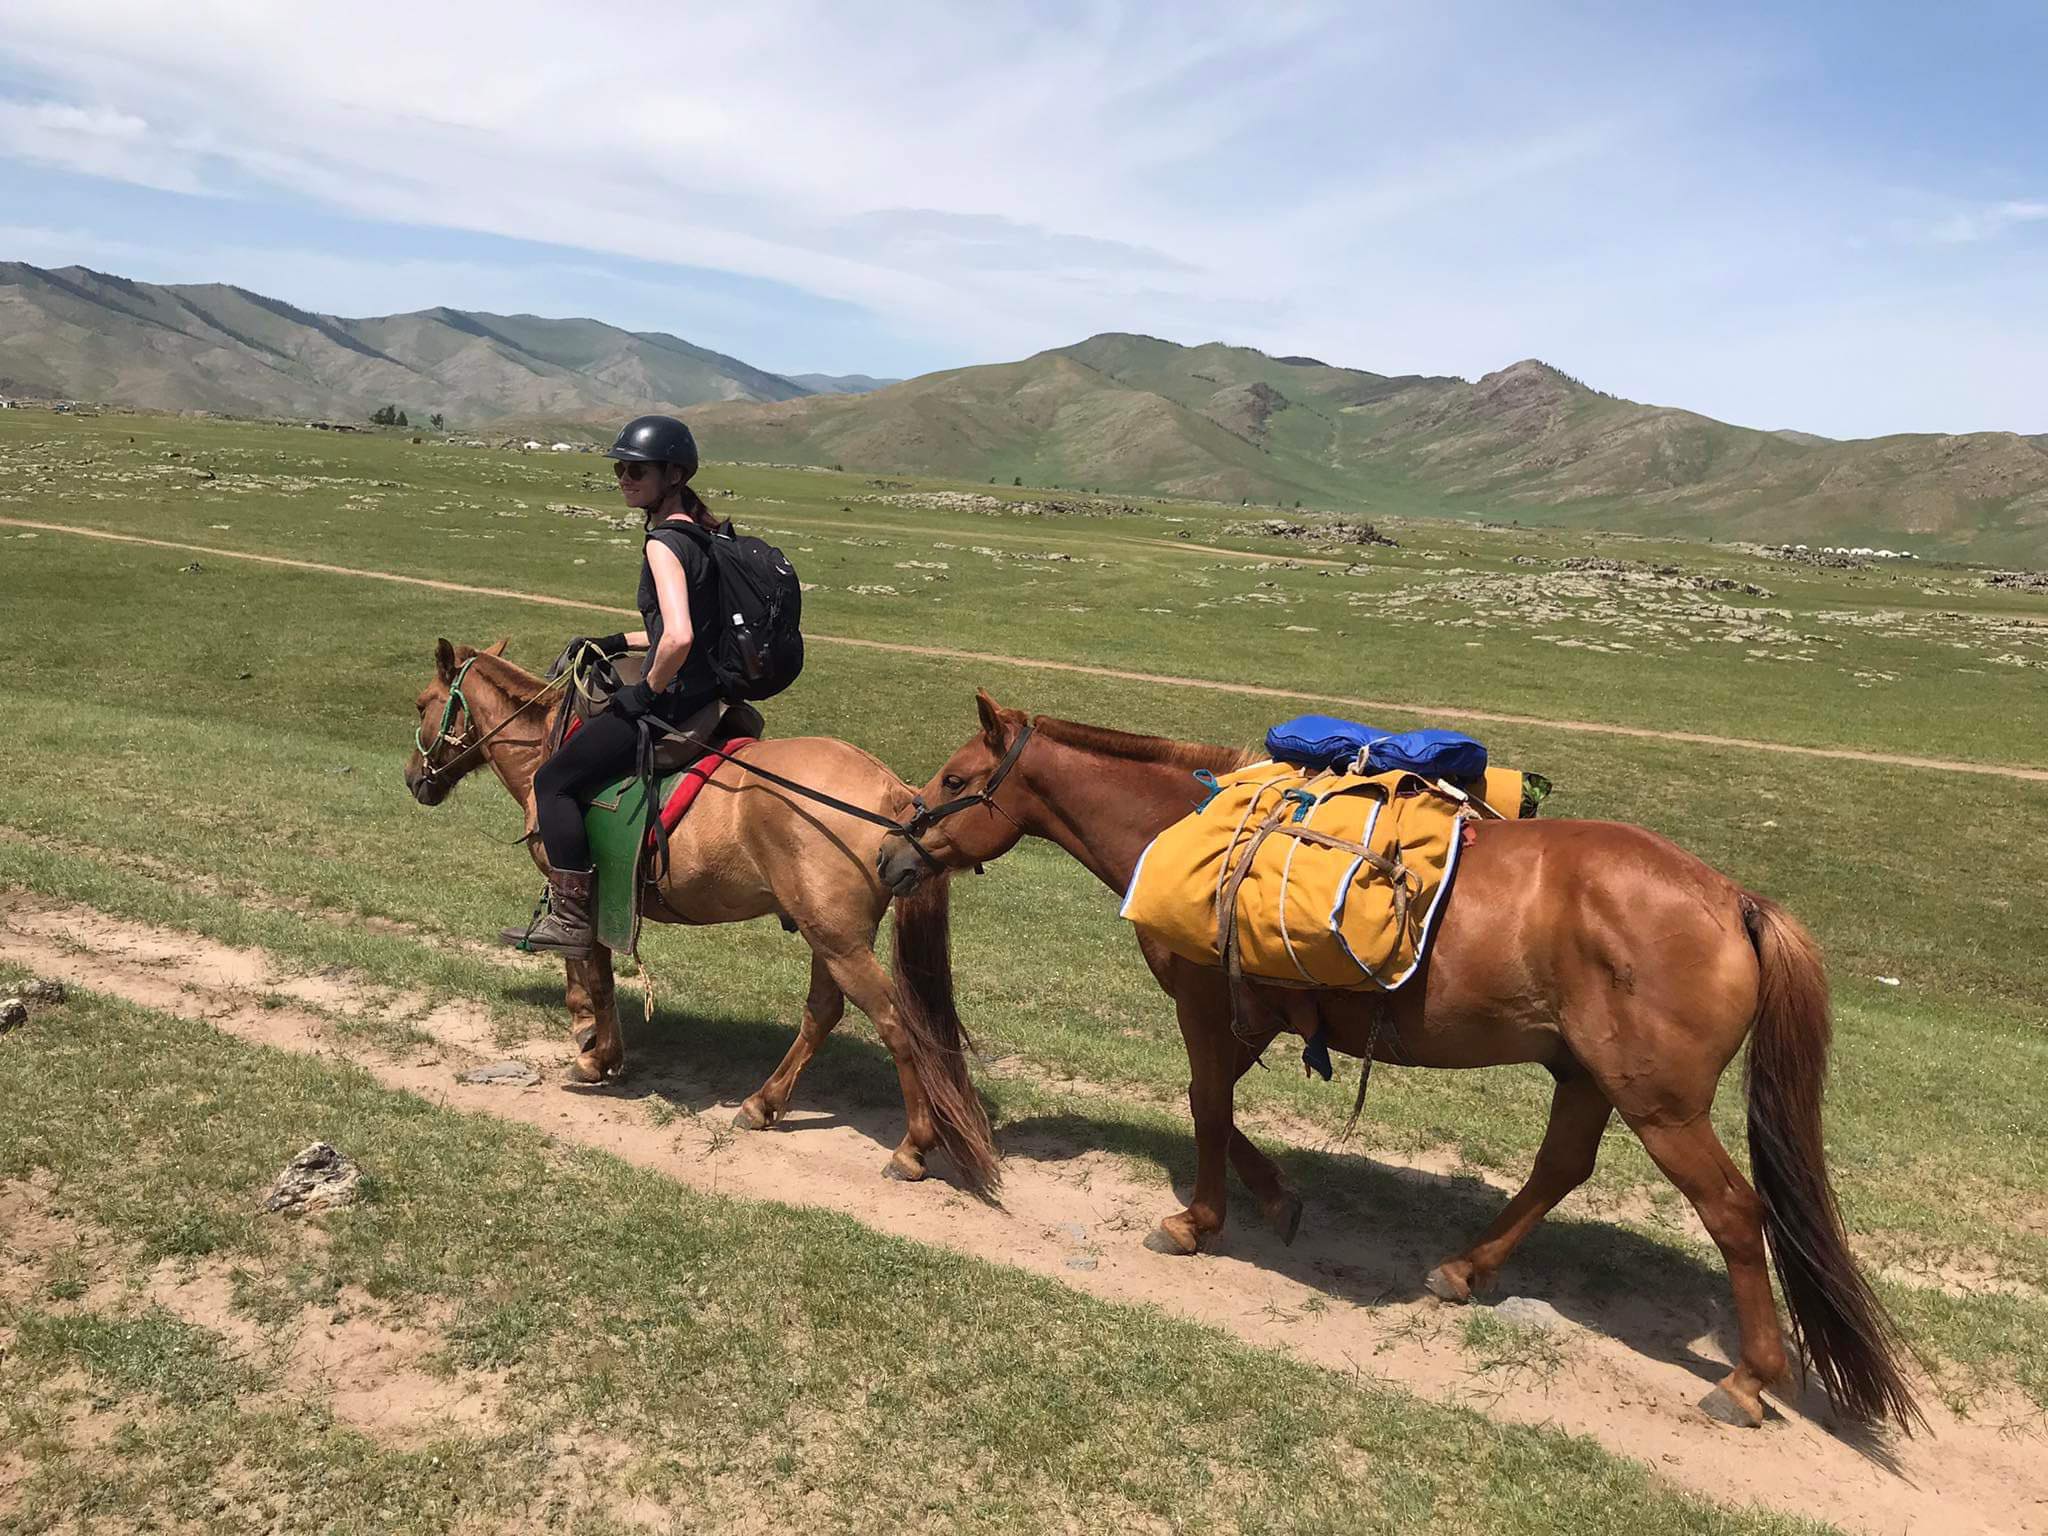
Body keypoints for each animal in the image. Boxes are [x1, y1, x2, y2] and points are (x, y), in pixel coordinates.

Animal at [397, 643, 991, 1196]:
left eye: (423, 703)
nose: (411, 778)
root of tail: (895, 795)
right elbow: (581, 965)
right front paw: (587, 1032)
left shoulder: (589, 890)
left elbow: (591, 968)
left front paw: (596, 1054)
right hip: (832, 938)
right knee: (823, 1013)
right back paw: (762, 1103)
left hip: (838, 942)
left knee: (895, 1025)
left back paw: (911, 1147)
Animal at [880, 692, 1916, 1441]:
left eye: (956, 775)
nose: (892, 857)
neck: (1179, 826)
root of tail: (1735, 899)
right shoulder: (1253, 1015)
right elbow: (1221, 1108)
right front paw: (1277, 1199)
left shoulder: (1206, 1007)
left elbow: (1206, 1104)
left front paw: (1197, 1222)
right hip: (1588, 1077)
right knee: (1561, 1170)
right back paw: (1463, 1269)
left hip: (1661, 1106)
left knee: (1735, 1214)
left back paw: (1746, 1381)